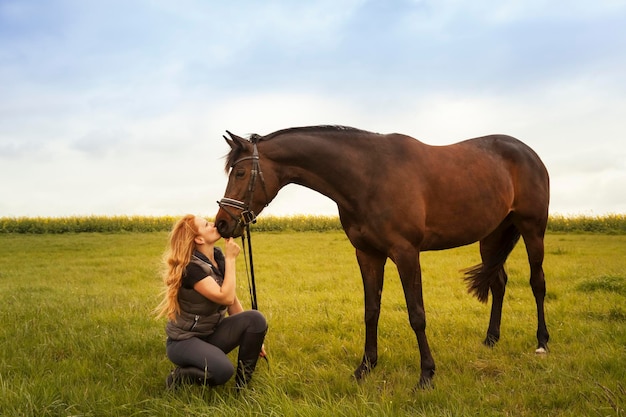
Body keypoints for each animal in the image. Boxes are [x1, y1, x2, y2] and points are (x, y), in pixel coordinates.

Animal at [214, 124, 544, 386]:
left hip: (532, 230)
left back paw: (542, 342)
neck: (368, 176)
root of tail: (528, 152)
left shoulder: (407, 253)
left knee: (537, 283)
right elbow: (371, 310)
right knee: (498, 282)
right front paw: (365, 367)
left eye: (240, 172)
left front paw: (426, 374)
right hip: (491, 237)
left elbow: (417, 315)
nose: (222, 223)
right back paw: (491, 339)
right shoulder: (368, 254)